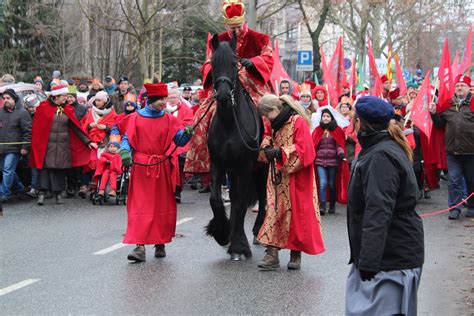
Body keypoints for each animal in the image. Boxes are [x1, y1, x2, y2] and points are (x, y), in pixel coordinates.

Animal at [206, 33, 268, 260]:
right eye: (213, 63)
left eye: (234, 63)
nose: (224, 95)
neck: (230, 124)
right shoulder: (218, 163)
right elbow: (216, 199)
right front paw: (222, 232)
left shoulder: (246, 166)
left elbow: (241, 203)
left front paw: (240, 246)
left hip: (262, 168)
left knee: (263, 197)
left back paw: (258, 230)